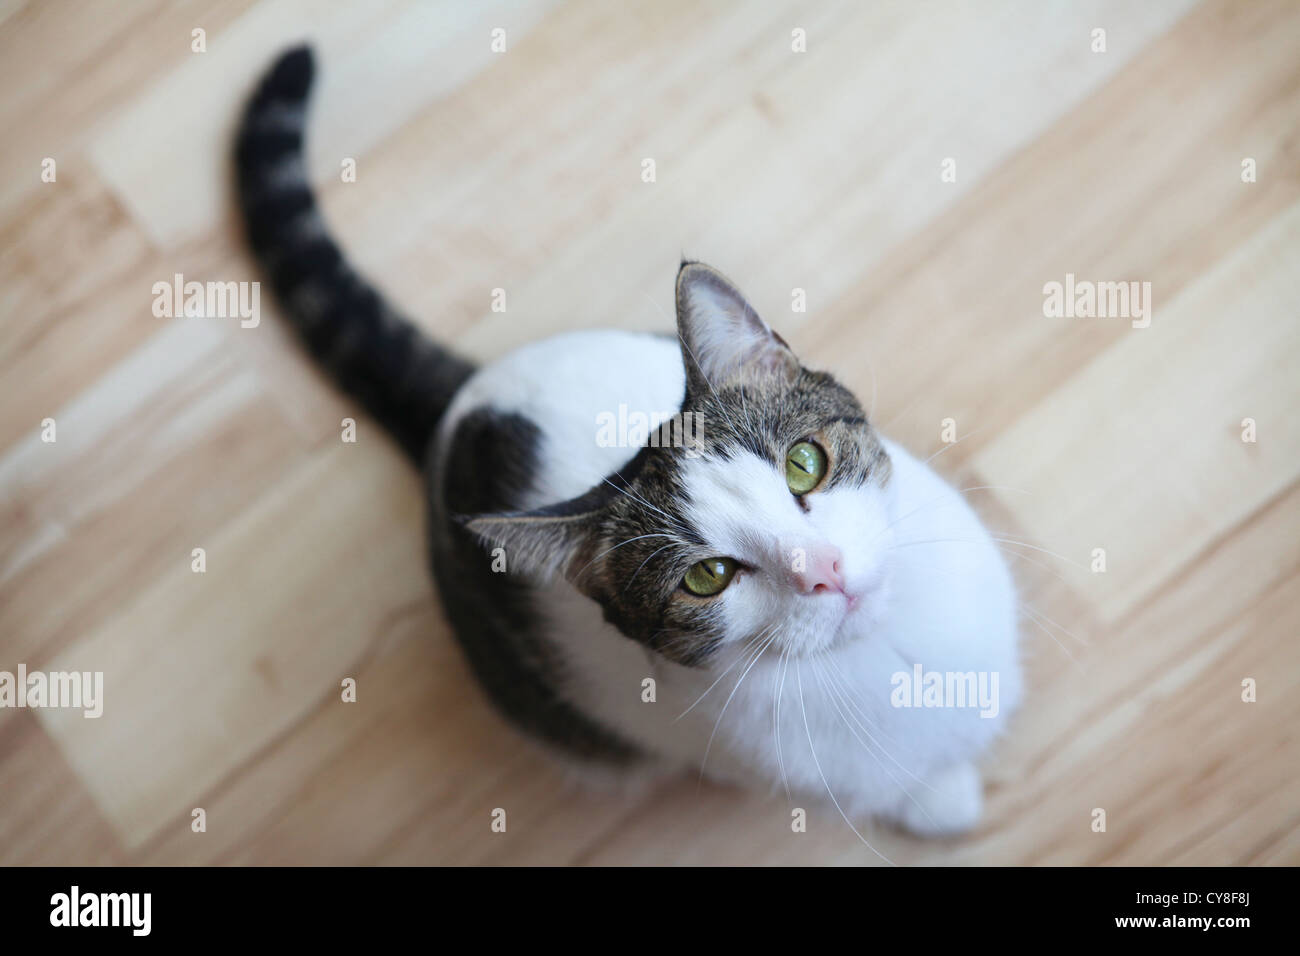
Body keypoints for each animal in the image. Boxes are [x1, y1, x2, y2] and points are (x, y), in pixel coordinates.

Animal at [239, 46, 1019, 842]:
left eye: (805, 465)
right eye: (707, 577)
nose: (822, 570)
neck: (883, 647)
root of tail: (466, 395)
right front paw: (945, 799)